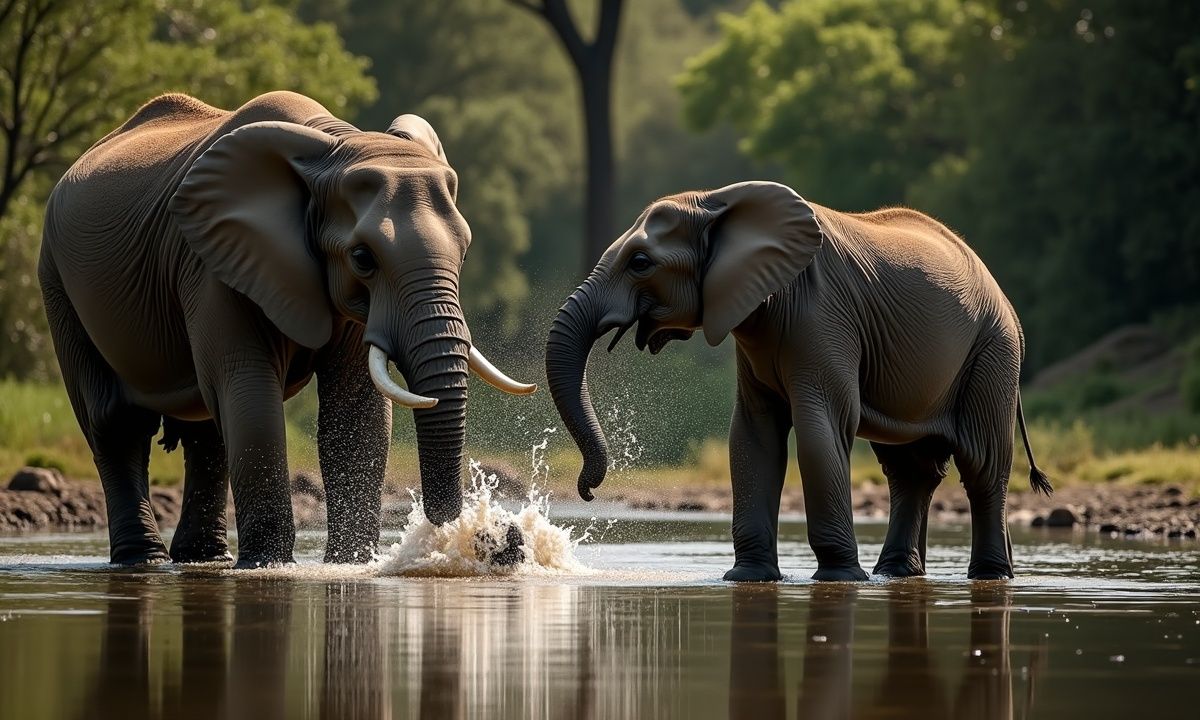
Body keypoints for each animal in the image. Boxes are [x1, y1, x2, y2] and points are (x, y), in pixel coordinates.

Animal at [39, 91, 535, 568]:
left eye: (464, 252)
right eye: (363, 258)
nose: (499, 536)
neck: (330, 144)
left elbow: (356, 412)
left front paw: (347, 565)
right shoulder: (212, 266)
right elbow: (250, 397)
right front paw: (268, 565)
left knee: (207, 430)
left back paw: (204, 559)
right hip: (58, 281)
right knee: (115, 423)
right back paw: (143, 560)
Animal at [545, 181, 1051, 582]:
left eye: (640, 263)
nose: (589, 491)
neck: (719, 201)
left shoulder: (822, 318)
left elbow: (819, 430)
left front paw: (840, 579)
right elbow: (752, 436)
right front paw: (748, 578)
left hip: (992, 352)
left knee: (981, 464)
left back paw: (988, 576)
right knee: (911, 470)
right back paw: (897, 575)